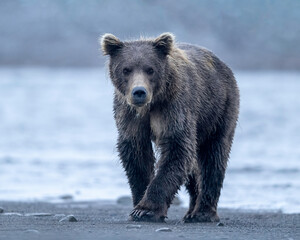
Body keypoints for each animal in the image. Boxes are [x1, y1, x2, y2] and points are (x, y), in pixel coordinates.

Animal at [101, 32, 239, 222]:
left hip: (219, 109)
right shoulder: (129, 114)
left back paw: (203, 212)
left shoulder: (173, 107)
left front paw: (146, 210)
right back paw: (191, 211)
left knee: (213, 156)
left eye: (150, 69)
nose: (139, 92)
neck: (151, 105)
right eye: (126, 69)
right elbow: (136, 154)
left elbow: (177, 148)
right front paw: (138, 204)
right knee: (194, 167)